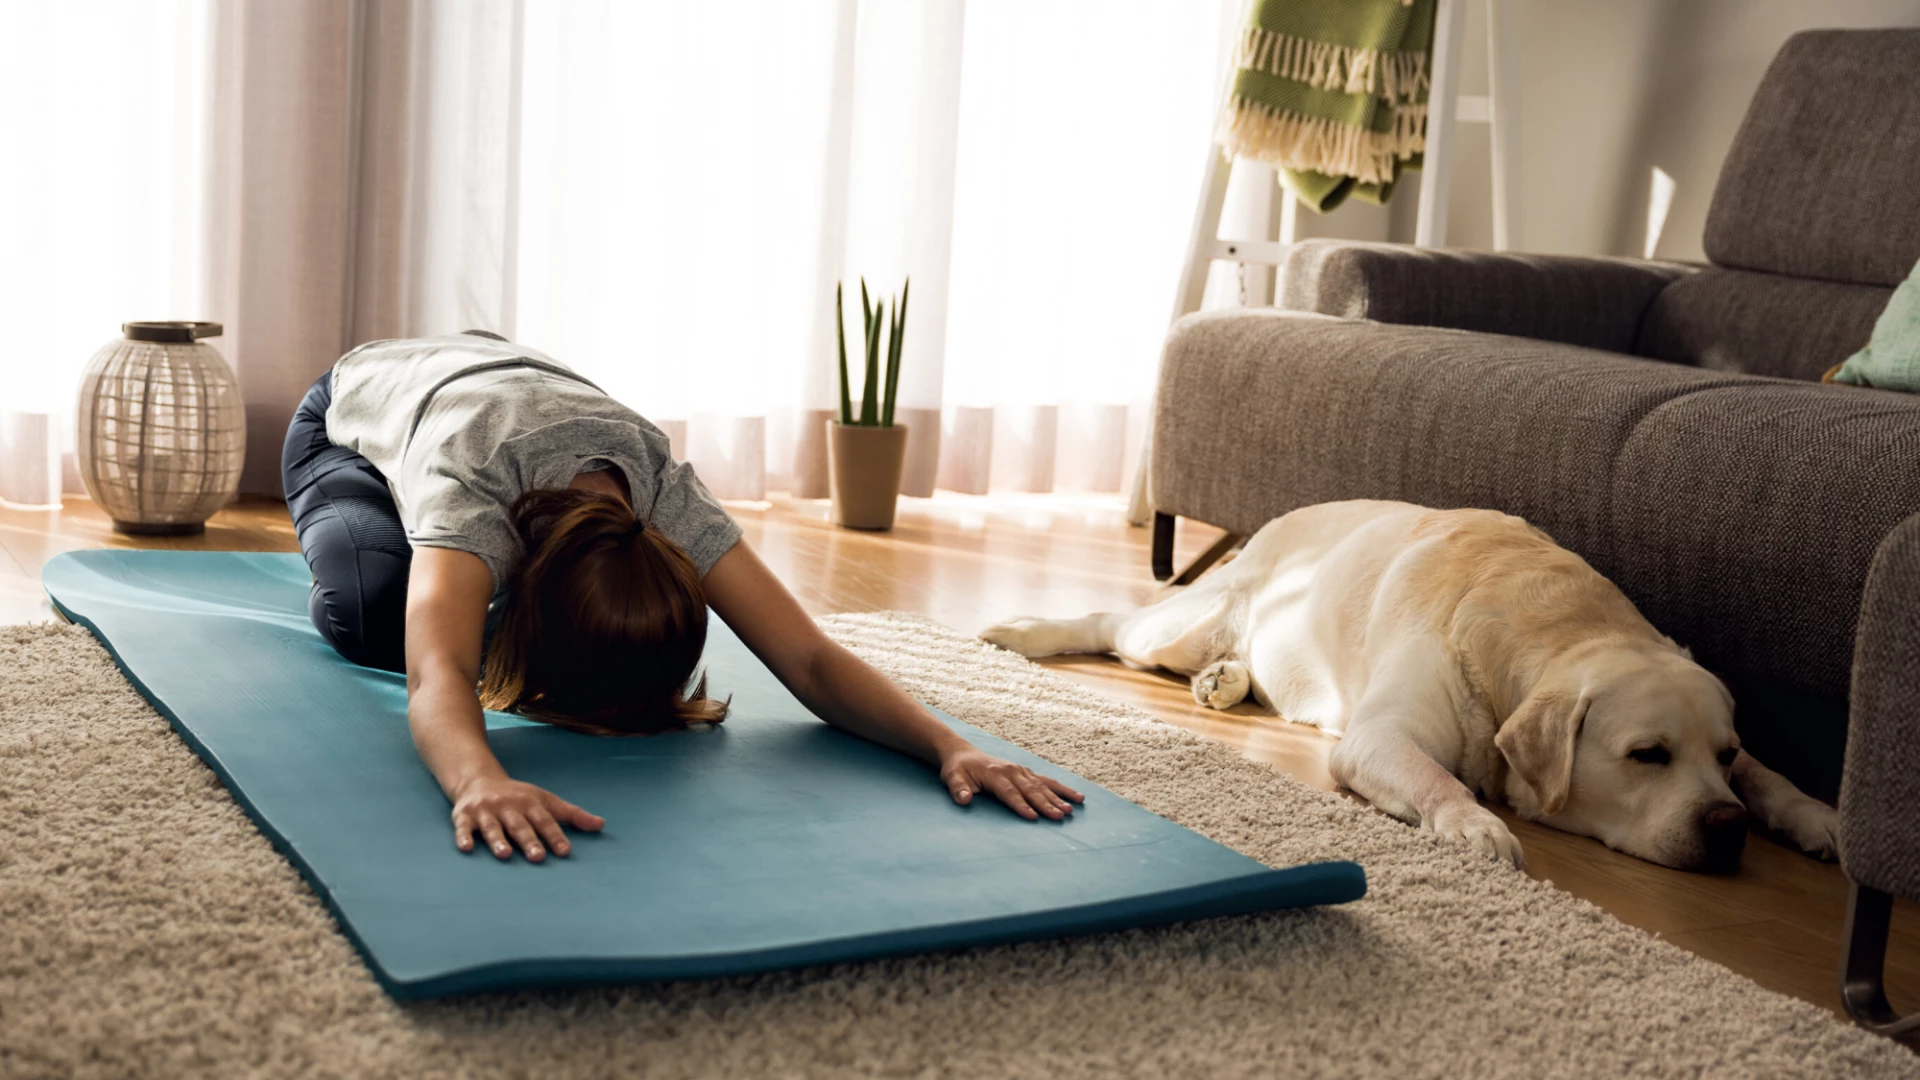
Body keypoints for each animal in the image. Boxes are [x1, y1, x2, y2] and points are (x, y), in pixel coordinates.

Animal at [990, 499, 1843, 868]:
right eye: (1647, 756)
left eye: (1721, 755)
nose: (1728, 828)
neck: (1553, 623)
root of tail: (1273, 520)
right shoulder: (1379, 736)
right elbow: (1439, 778)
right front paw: (1473, 823)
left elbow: (1773, 775)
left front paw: (1814, 816)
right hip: (1183, 623)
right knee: (1115, 624)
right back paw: (1025, 631)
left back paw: (1226, 682)